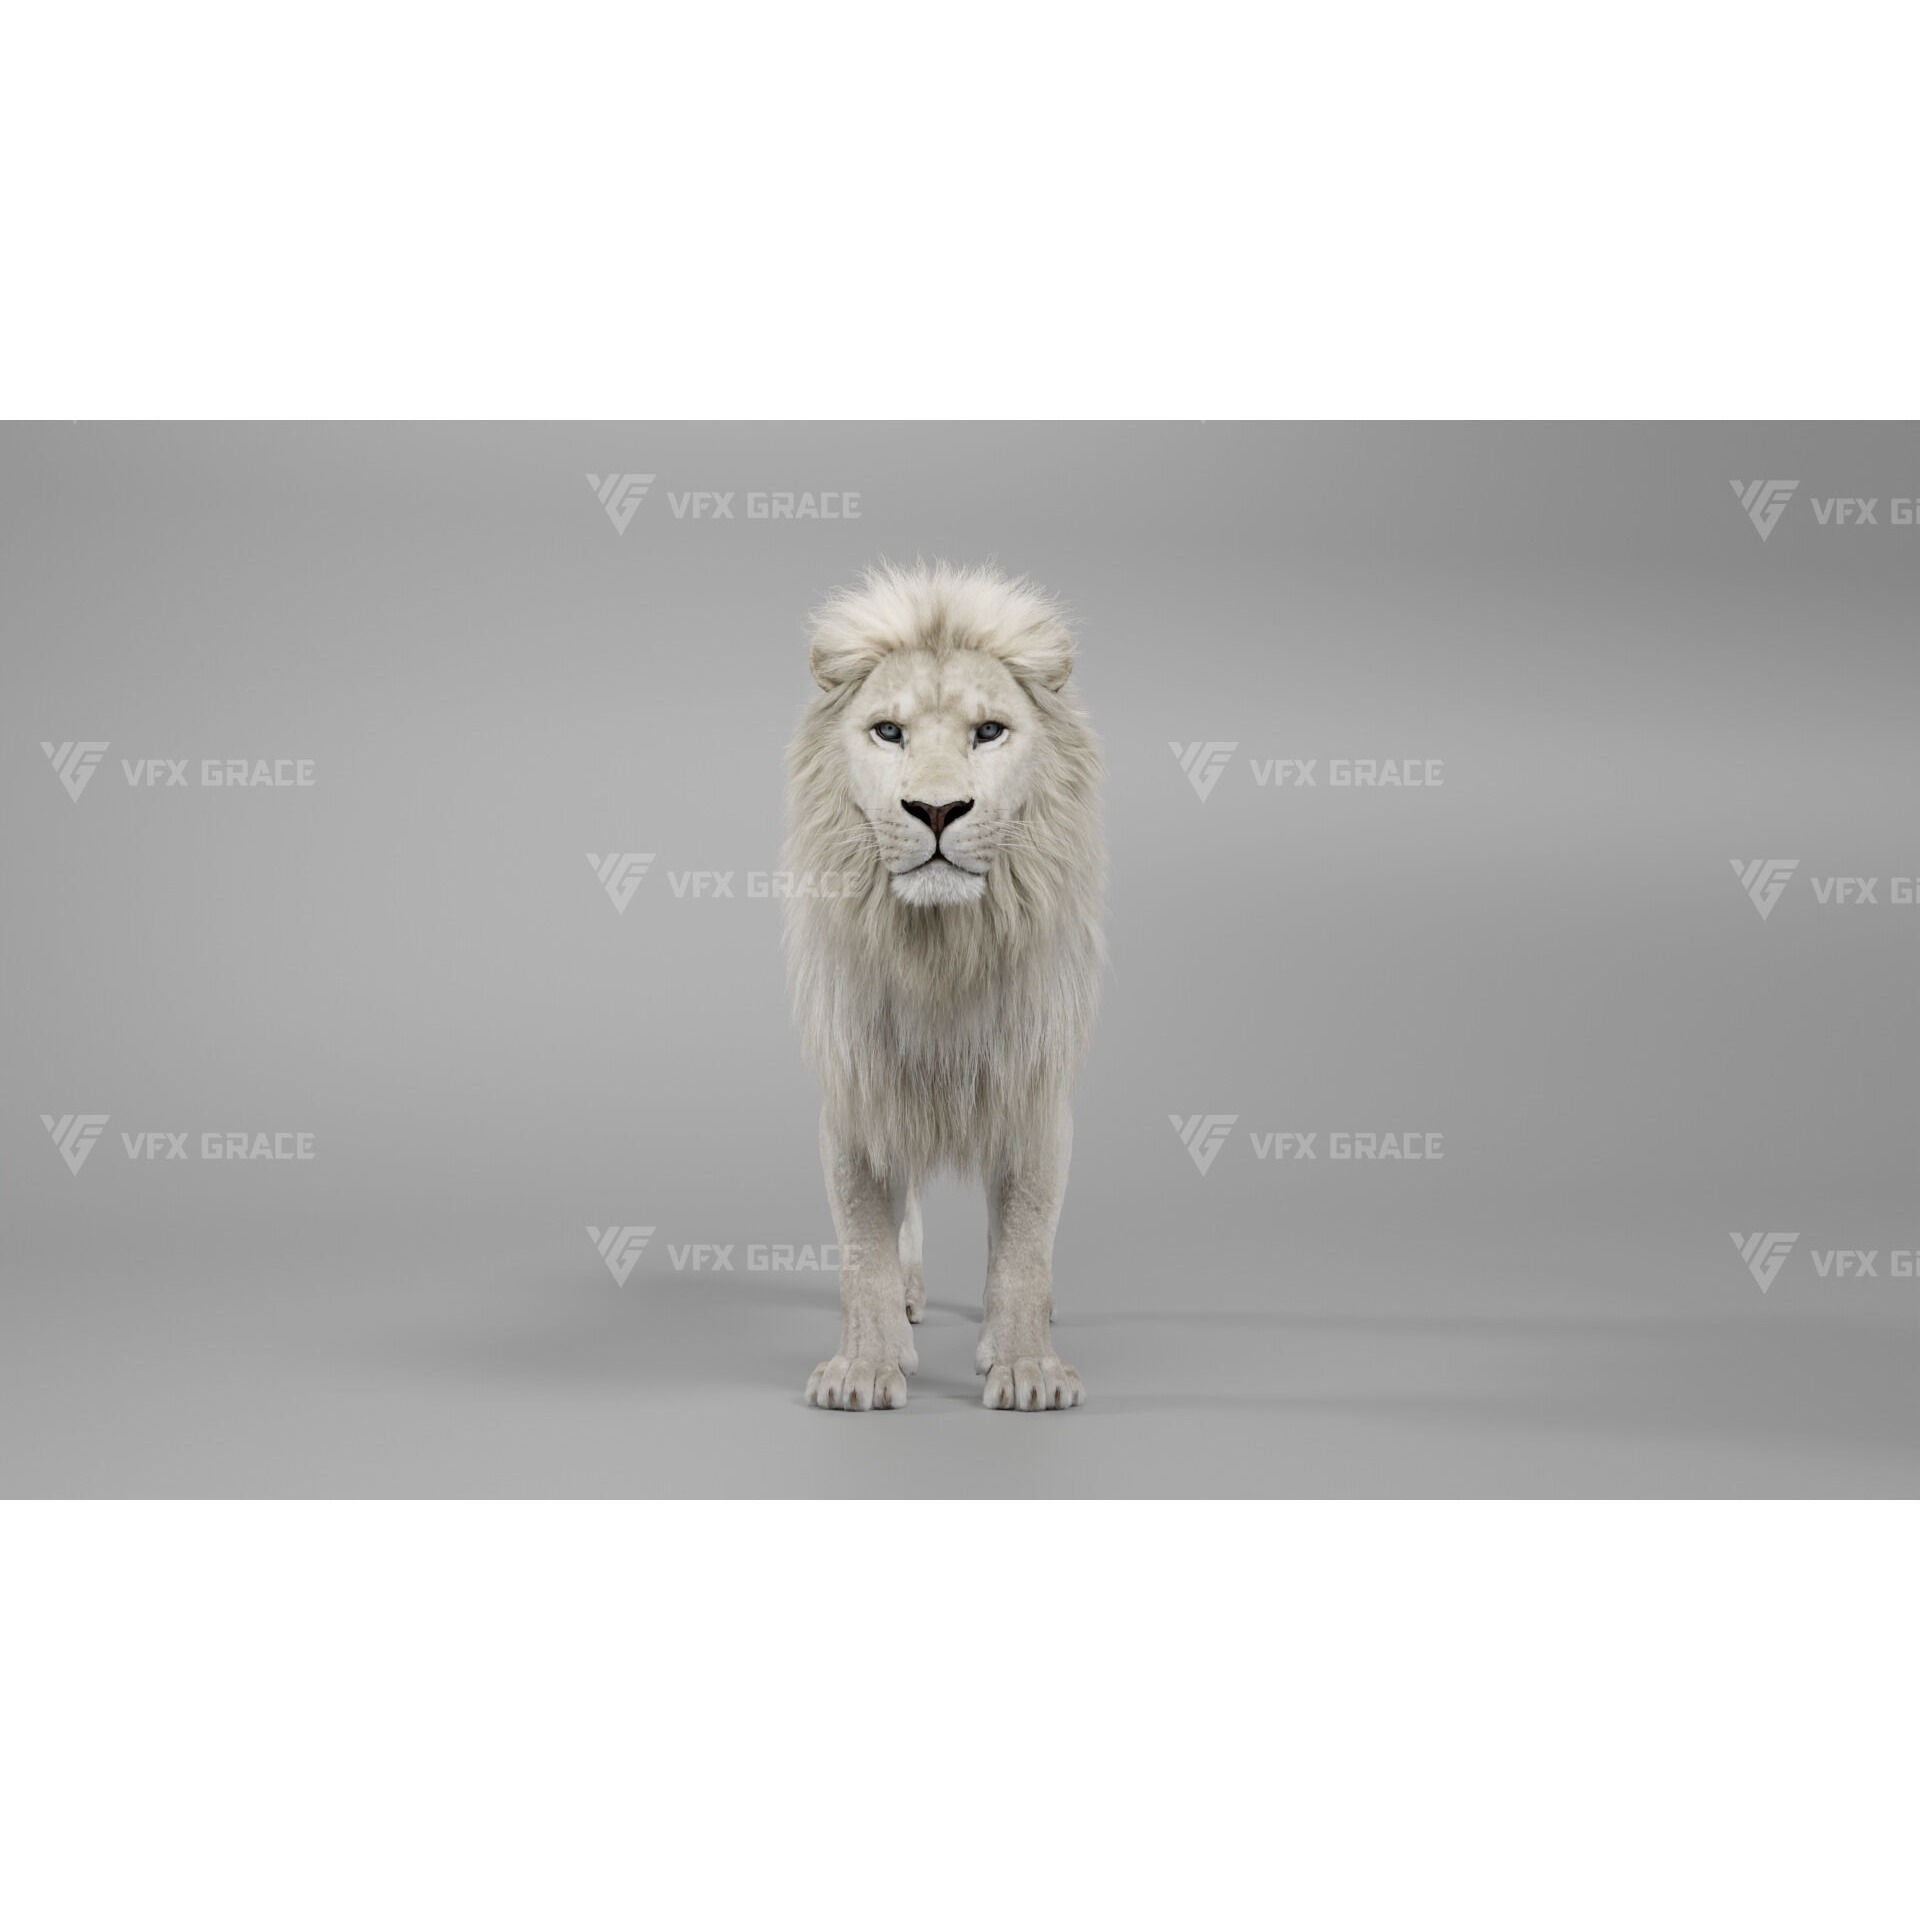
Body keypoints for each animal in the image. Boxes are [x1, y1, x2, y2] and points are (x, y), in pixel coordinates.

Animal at [784, 561, 1106, 1411]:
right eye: (888, 732)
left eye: (988, 731)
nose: (935, 809)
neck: (941, 945)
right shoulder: (859, 1085)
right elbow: (864, 1237)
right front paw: (865, 1367)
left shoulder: (1033, 1085)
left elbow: (1024, 1236)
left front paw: (1026, 1367)